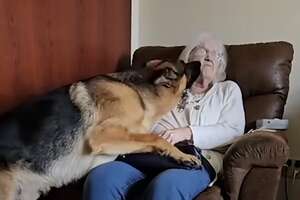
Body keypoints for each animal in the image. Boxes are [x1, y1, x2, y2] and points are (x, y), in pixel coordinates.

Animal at [0, 59, 202, 200]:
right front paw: (184, 156)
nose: (200, 62)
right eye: (185, 65)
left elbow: (149, 140)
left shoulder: (126, 138)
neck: (139, 92)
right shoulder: (102, 135)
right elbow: (156, 137)